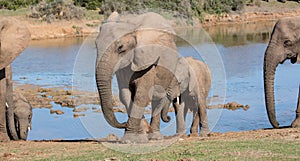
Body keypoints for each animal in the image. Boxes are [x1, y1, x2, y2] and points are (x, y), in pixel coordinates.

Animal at [96, 12, 179, 143]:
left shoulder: (147, 61)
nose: (123, 123)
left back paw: (155, 137)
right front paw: (138, 137)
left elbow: (141, 95)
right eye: (96, 46)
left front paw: (128, 139)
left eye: (120, 47)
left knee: (158, 97)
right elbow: (125, 95)